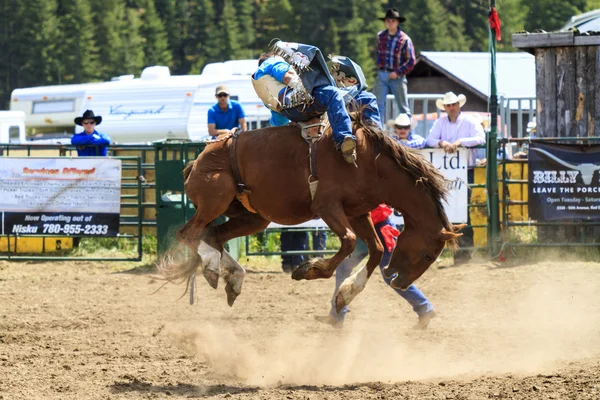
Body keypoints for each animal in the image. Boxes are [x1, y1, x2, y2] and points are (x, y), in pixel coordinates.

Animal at [164, 117, 464, 310]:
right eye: (428, 256)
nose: (399, 283)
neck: (370, 163)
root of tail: (196, 161)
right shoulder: (327, 207)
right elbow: (349, 242)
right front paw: (308, 270)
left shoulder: (357, 213)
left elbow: (377, 248)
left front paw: (346, 295)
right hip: (217, 197)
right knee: (189, 232)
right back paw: (213, 267)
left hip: (254, 218)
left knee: (213, 235)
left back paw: (232, 277)